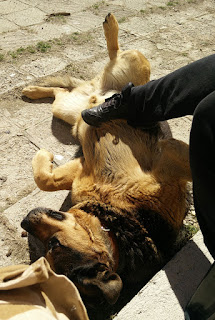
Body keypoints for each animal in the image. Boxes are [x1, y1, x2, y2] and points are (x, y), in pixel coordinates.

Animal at [20, 13, 191, 308]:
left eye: (53, 245)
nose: (24, 221)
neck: (114, 222)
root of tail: (95, 89)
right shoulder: (83, 169)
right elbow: (45, 180)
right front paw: (45, 157)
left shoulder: (169, 159)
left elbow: (45, 179)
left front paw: (43, 155)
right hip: (68, 108)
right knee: (67, 87)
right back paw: (35, 89)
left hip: (130, 70)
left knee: (117, 57)